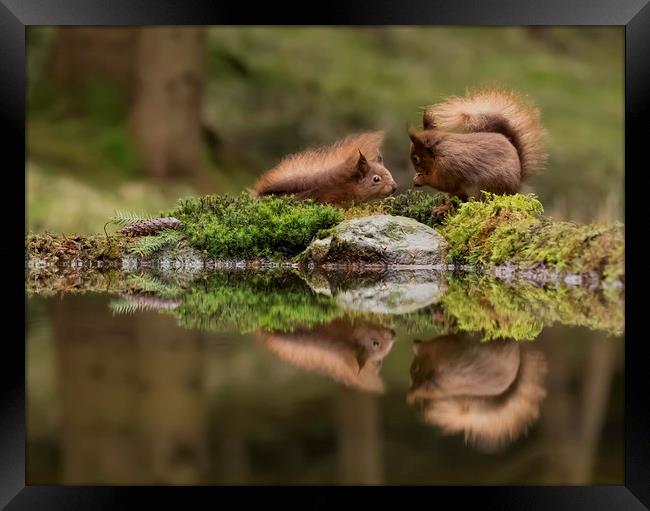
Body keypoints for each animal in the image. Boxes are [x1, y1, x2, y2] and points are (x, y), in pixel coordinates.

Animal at [408, 88, 544, 200]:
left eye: (416, 159)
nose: (417, 171)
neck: (441, 151)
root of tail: (515, 188)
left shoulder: (450, 168)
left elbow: (444, 184)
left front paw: (421, 179)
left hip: (486, 188)